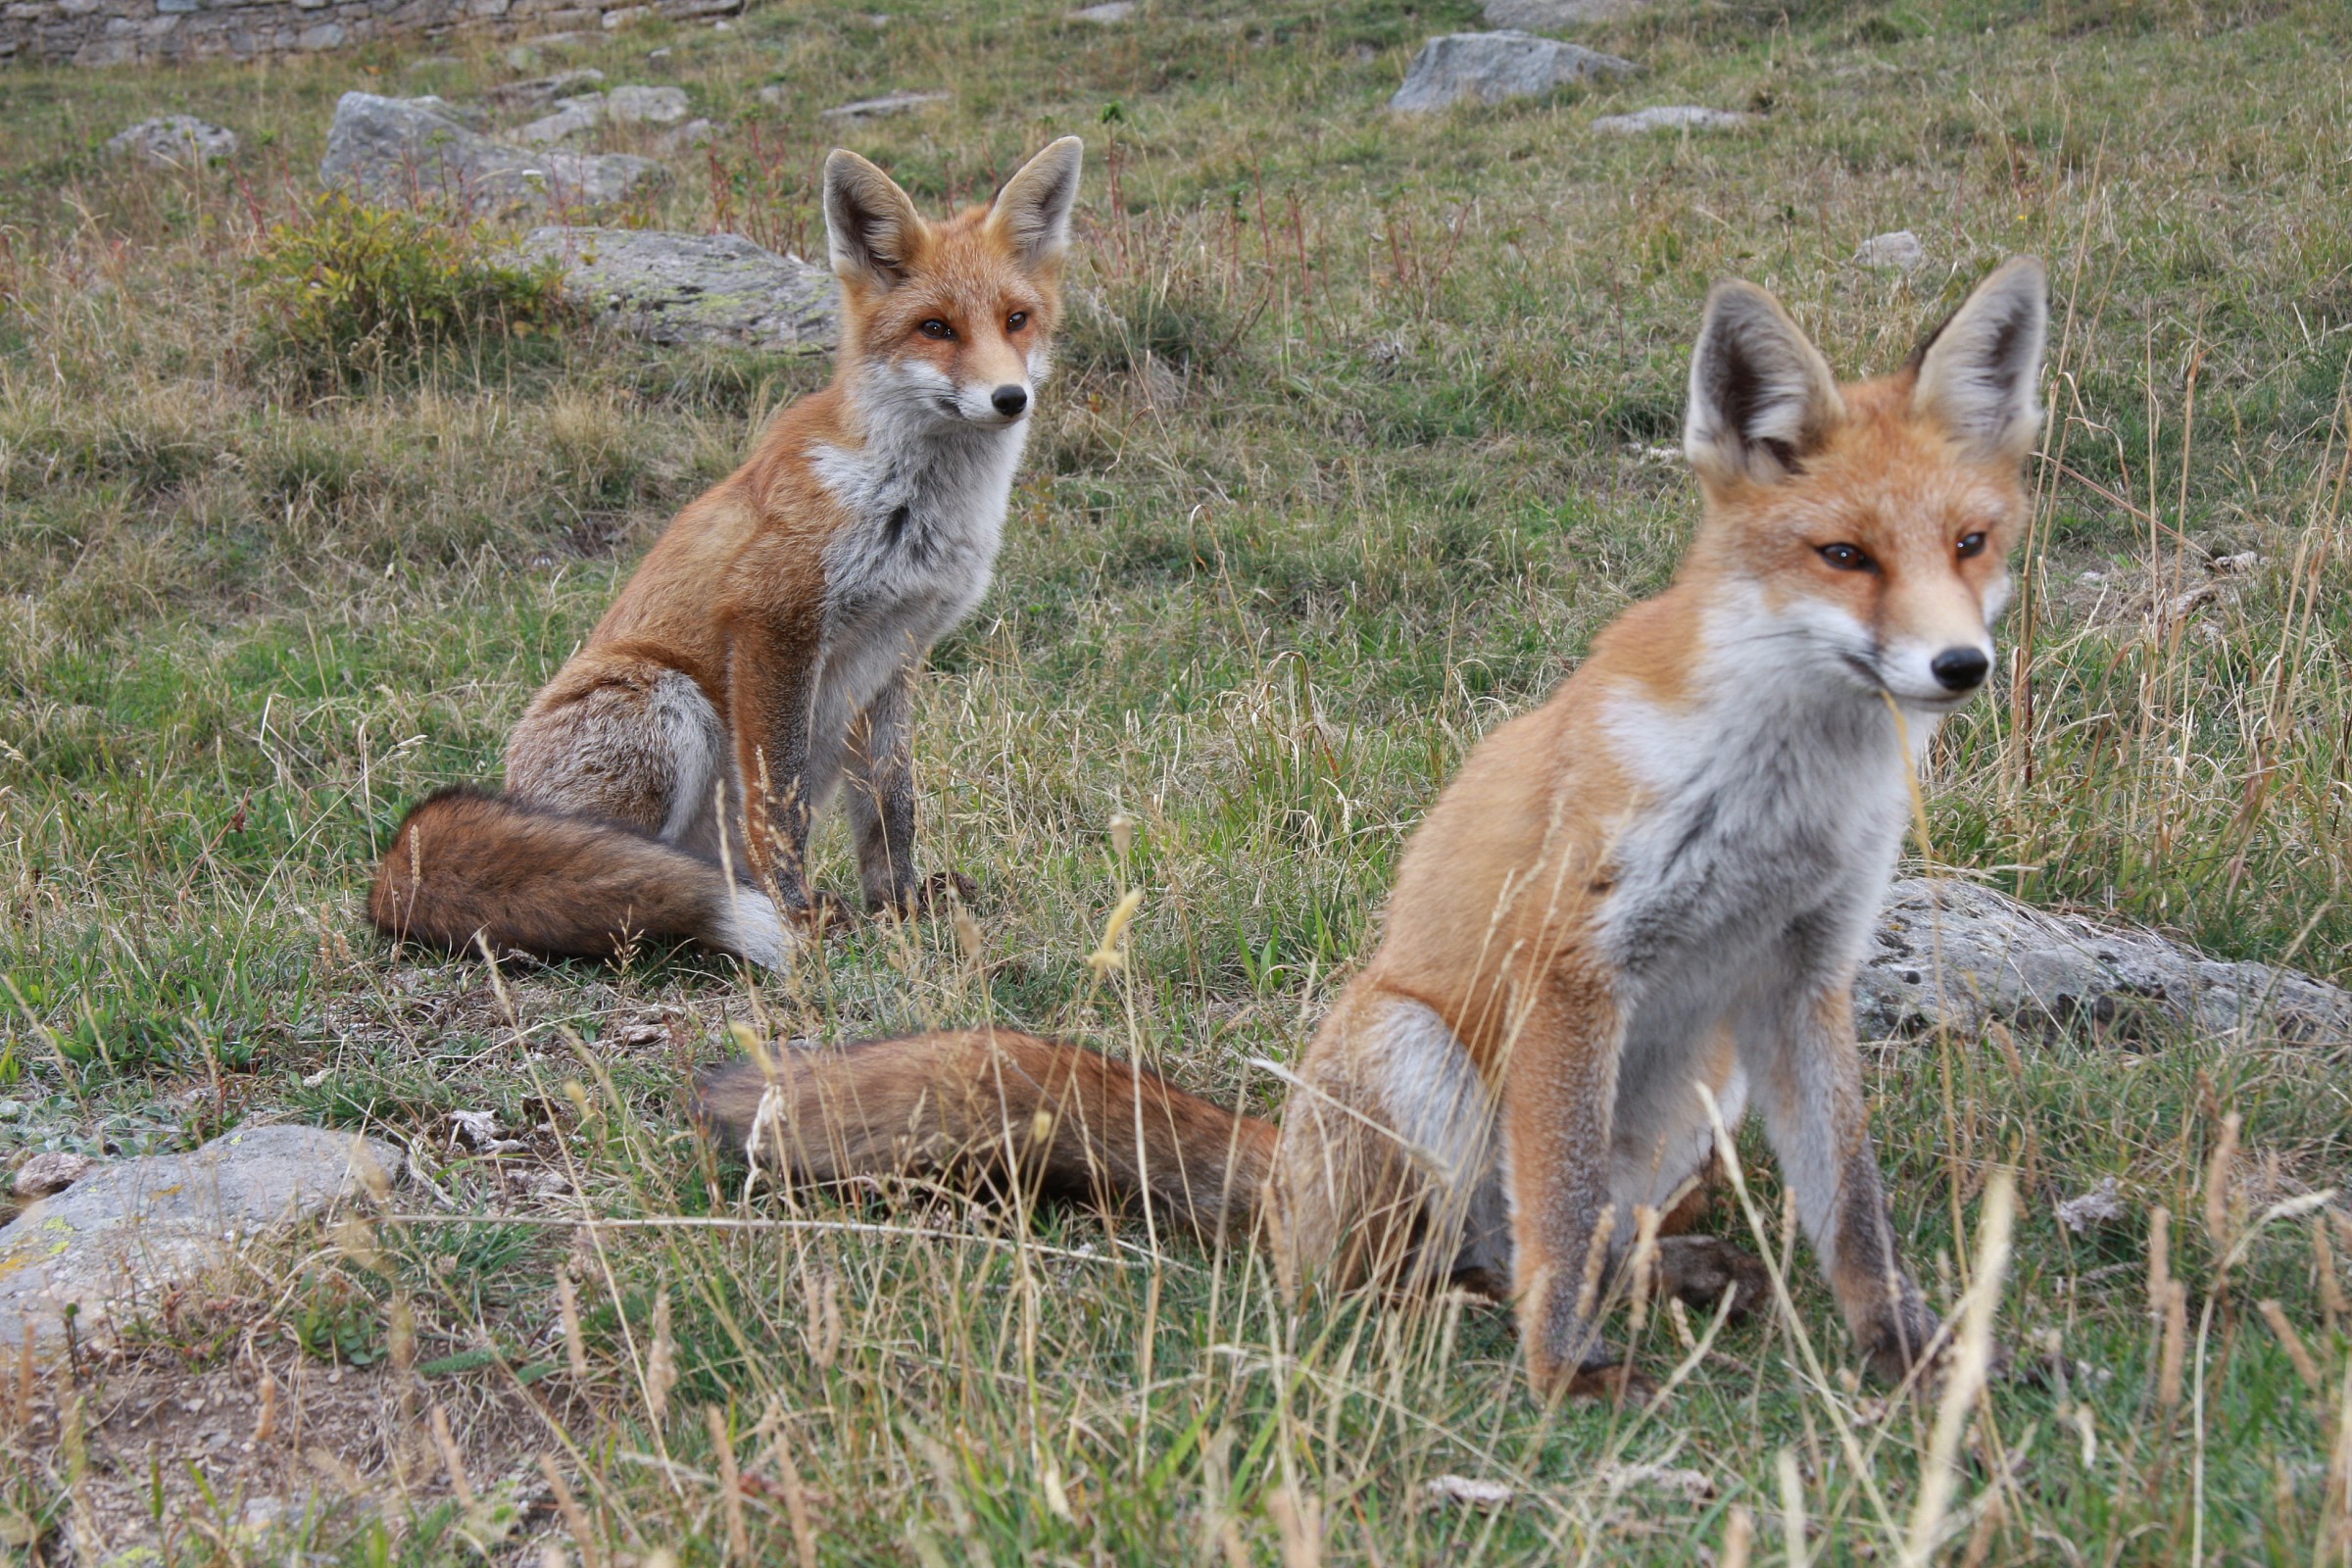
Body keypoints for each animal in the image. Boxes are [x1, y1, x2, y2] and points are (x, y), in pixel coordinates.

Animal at [369, 138, 1084, 969]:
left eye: (1016, 320)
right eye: (936, 328)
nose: (1010, 399)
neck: (909, 504)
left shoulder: (900, 649)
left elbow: (891, 802)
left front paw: (900, 906)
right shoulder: (776, 622)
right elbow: (780, 801)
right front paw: (799, 914)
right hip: (665, 706)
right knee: (614, 876)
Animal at [696, 257, 2049, 1399]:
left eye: (1970, 544)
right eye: (1844, 554)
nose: (1960, 666)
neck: (1788, 785)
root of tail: (1284, 1159)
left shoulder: (1805, 976)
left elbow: (1852, 1215)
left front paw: (1914, 1355)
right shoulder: (1575, 970)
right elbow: (1561, 1222)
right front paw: (1561, 1376)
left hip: (1693, 1090)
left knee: (1559, 1246)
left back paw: (1671, 1278)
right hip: (1420, 1057)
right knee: (1389, 1283)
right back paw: (1454, 1314)